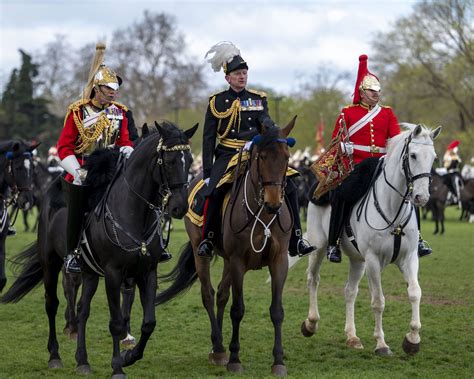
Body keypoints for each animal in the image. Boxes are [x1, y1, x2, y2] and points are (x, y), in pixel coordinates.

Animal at [0, 123, 197, 378]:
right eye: (170, 161)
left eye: (189, 159)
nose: (180, 207)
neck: (135, 213)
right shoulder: (113, 274)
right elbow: (116, 322)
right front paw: (117, 366)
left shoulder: (146, 272)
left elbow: (148, 322)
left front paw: (129, 356)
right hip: (51, 263)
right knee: (52, 304)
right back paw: (55, 355)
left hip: (90, 272)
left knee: (83, 309)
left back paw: (82, 360)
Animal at [156, 118, 296, 378]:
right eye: (261, 156)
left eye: (286, 157)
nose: (273, 203)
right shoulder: (239, 261)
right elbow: (237, 309)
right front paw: (234, 358)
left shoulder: (279, 261)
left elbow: (277, 310)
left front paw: (278, 361)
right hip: (203, 253)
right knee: (209, 294)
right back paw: (220, 349)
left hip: (229, 262)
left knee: (221, 294)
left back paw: (217, 345)